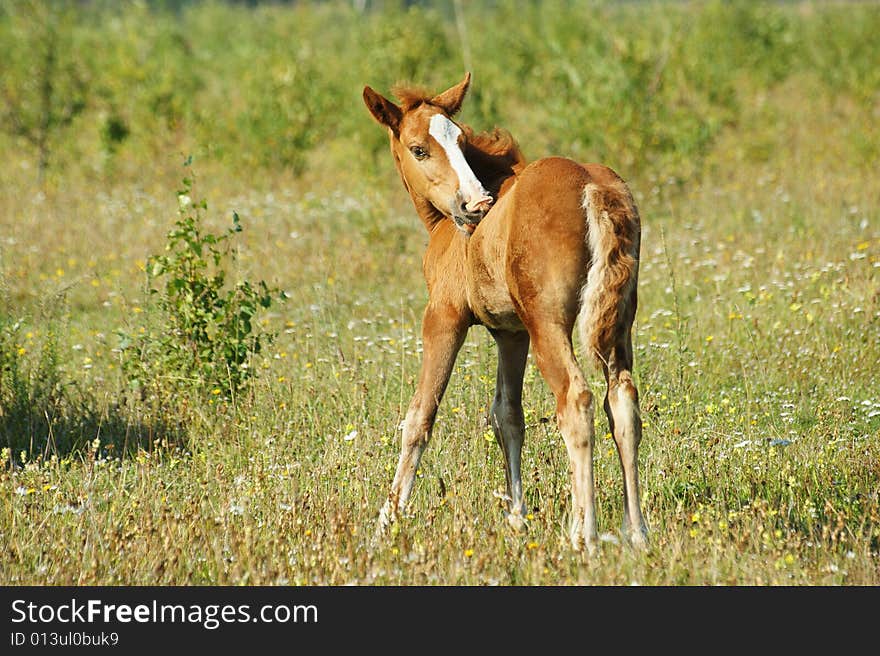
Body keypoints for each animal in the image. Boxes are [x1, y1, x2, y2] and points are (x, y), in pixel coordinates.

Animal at [362, 74, 648, 552]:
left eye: (459, 139)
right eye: (420, 148)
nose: (476, 205)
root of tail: (593, 186)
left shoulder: (444, 318)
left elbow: (420, 417)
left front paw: (387, 521)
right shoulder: (512, 334)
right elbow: (507, 416)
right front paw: (518, 519)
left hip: (550, 324)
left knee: (577, 401)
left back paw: (584, 535)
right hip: (616, 324)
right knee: (622, 403)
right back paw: (637, 532)